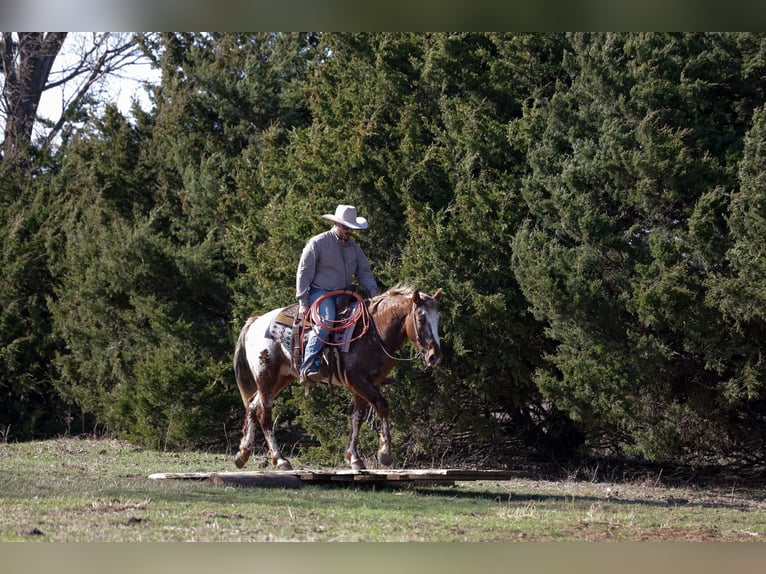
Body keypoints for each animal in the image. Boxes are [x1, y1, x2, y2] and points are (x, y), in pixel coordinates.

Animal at [233, 285, 443, 471]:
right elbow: (382, 406)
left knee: (252, 405)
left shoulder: (367, 384)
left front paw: (354, 458)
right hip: (266, 377)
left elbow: (357, 418)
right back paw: (280, 460)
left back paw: (243, 453)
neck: (375, 332)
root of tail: (255, 321)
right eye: (421, 317)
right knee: (264, 414)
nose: (434, 356)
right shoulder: (358, 381)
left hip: (281, 378)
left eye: (438, 319)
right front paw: (384, 453)